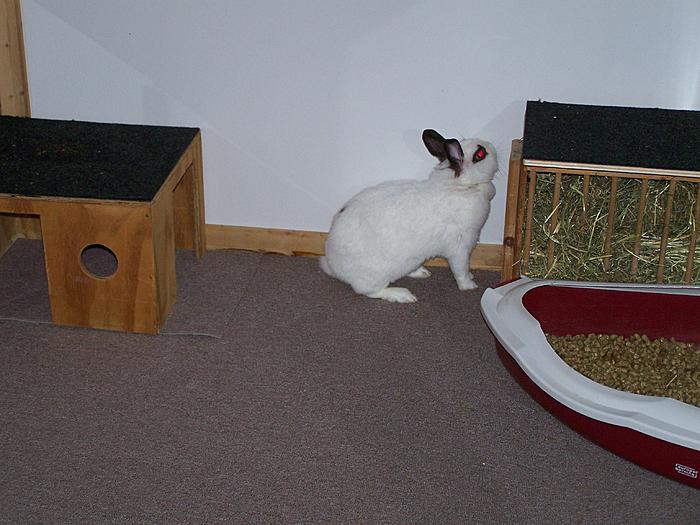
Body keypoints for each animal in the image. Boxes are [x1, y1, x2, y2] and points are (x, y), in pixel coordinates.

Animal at [319, 129, 498, 303]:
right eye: (480, 154)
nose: (493, 147)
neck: (462, 186)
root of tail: (333, 265)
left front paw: (471, 277)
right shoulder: (459, 247)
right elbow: (460, 269)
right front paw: (469, 285)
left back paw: (421, 272)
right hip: (375, 276)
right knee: (370, 291)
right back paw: (402, 295)